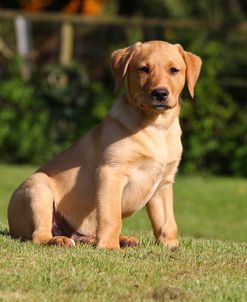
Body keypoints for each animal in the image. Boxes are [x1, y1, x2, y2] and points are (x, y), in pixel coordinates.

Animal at [7, 42, 202, 250]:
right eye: (143, 69)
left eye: (174, 70)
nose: (160, 93)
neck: (157, 126)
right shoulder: (111, 172)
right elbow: (112, 216)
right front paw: (109, 246)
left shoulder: (164, 182)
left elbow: (167, 221)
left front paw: (171, 246)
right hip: (39, 188)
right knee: (39, 235)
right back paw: (60, 240)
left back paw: (123, 239)